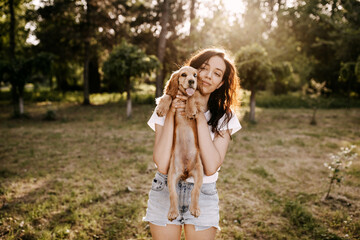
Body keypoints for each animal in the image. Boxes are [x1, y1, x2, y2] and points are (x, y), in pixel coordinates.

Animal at [156, 66, 207, 221]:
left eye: (195, 75)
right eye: (183, 74)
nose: (191, 81)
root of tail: (185, 172)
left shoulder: (202, 102)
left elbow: (192, 96)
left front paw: (190, 110)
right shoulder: (173, 96)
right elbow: (168, 95)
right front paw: (161, 108)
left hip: (199, 173)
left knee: (195, 192)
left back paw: (195, 209)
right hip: (172, 175)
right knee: (173, 195)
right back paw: (173, 212)